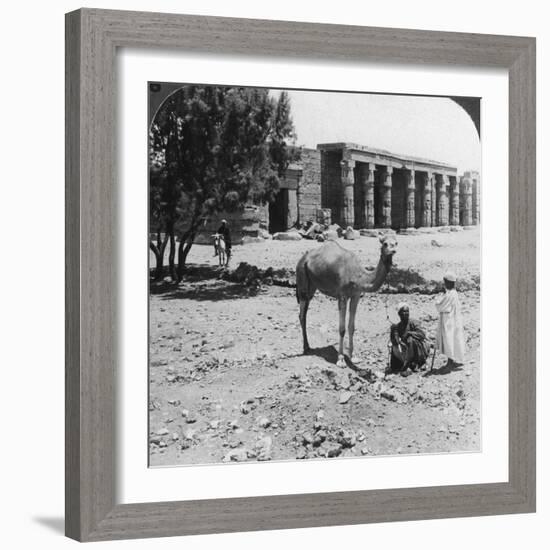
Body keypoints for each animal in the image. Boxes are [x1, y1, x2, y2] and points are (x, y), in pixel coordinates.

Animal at [298, 235, 396, 368]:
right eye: (385, 243)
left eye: (396, 243)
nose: (393, 251)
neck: (358, 276)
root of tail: (304, 257)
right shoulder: (342, 296)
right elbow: (342, 329)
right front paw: (340, 359)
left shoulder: (356, 296)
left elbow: (351, 327)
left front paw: (353, 357)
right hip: (302, 279)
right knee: (302, 315)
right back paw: (306, 347)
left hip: (312, 286)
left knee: (304, 312)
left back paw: (307, 346)